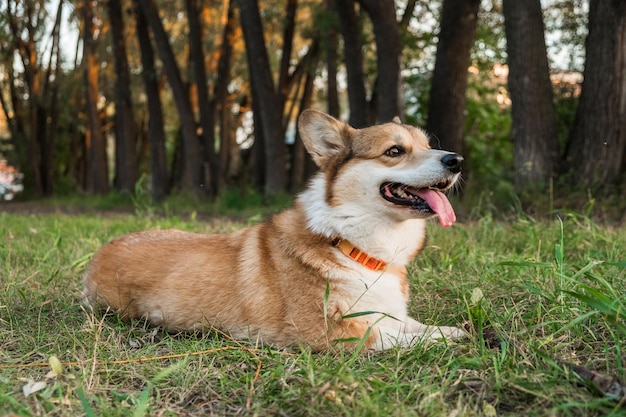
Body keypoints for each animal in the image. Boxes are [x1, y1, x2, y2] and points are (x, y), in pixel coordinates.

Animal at [81, 109, 464, 350]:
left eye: (428, 146)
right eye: (395, 151)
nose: (457, 160)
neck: (349, 243)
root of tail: (101, 252)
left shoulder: (386, 313)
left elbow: (415, 325)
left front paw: (455, 330)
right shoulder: (329, 332)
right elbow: (396, 336)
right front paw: (455, 339)